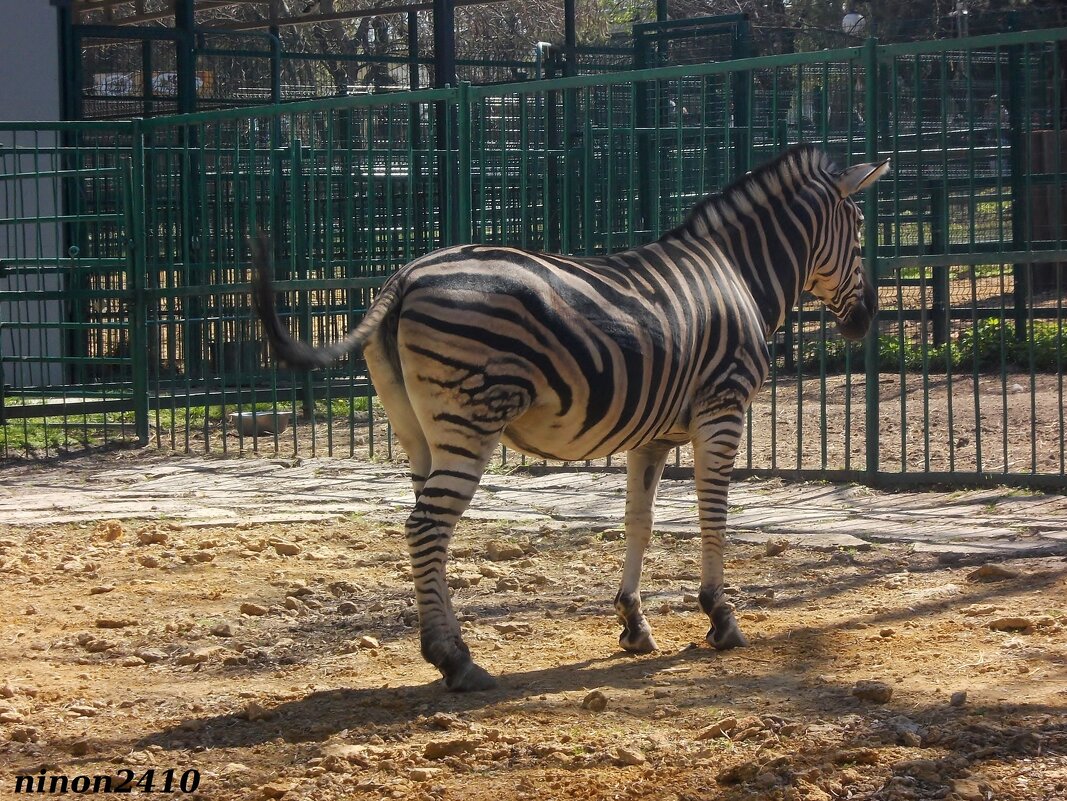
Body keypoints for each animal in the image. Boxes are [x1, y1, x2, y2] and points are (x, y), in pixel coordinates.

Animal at [253, 146, 887, 695]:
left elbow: (639, 522)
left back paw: (450, 648)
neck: (738, 274)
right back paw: (454, 660)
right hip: (470, 419)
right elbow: (714, 518)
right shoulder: (722, 409)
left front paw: (633, 623)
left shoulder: (652, 435)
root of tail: (404, 276)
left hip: (417, 431)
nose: (865, 321)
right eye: (859, 228)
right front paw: (721, 618)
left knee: (427, 526)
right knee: (427, 526)